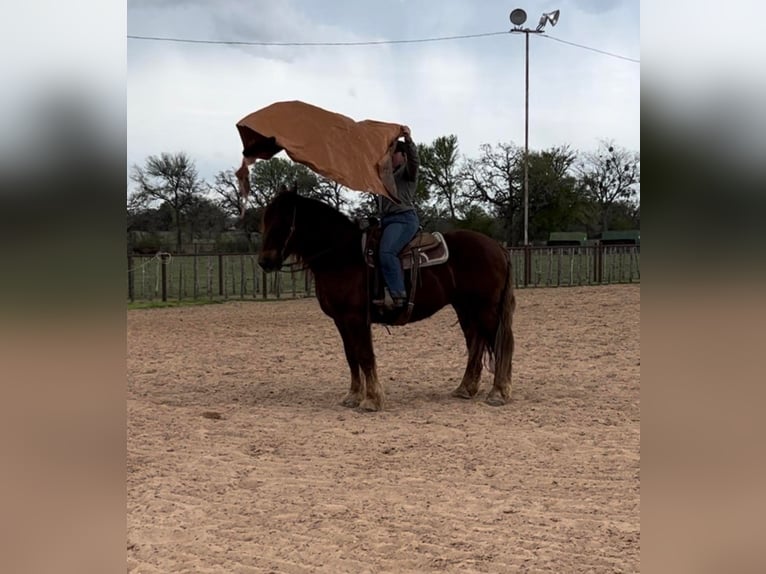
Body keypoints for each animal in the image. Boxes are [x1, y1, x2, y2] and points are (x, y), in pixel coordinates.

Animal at [258, 187, 516, 412]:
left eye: (281, 222)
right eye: (265, 220)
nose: (264, 261)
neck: (342, 256)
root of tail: (497, 247)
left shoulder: (356, 318)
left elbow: (365, 355)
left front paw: (372, 400)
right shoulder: (341, 320)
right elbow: (351, 355)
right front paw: (353, 396)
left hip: (486, 308)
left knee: (499, 342)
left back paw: (498, 393)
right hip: (466, 308)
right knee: (475, 342)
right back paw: (465, 388)